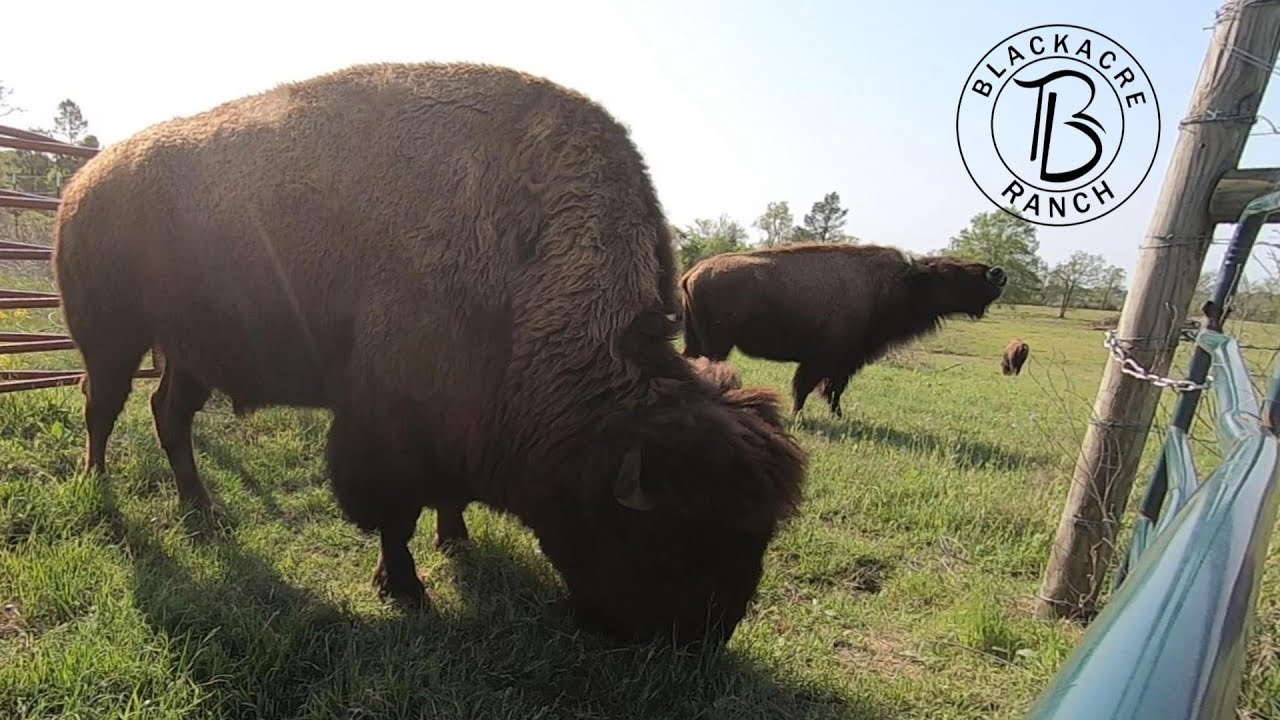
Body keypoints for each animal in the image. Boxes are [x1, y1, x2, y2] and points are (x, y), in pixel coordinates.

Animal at [52, 61, 807, 646]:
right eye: (682, 537)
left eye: (759, 537)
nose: (704, 637)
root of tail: (82, 183)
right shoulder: (386, 430)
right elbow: (395, 514)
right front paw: (406, 589)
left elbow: (445, 495)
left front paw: (457, 540)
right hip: (113, 337)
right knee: (103, 405)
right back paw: (98, 483)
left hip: (190, 354)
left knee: (168, 414)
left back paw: (203, 511)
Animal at [679, 243, 1006, 417]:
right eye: (949, 271)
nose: (997, 273)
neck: (899, 283)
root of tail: (691, 273)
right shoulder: (822, 358)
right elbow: (806, 386)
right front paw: (798, 415)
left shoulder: (847, 361)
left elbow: (835, 389)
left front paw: (837, 415)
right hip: (717, 345)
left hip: (697, 341)